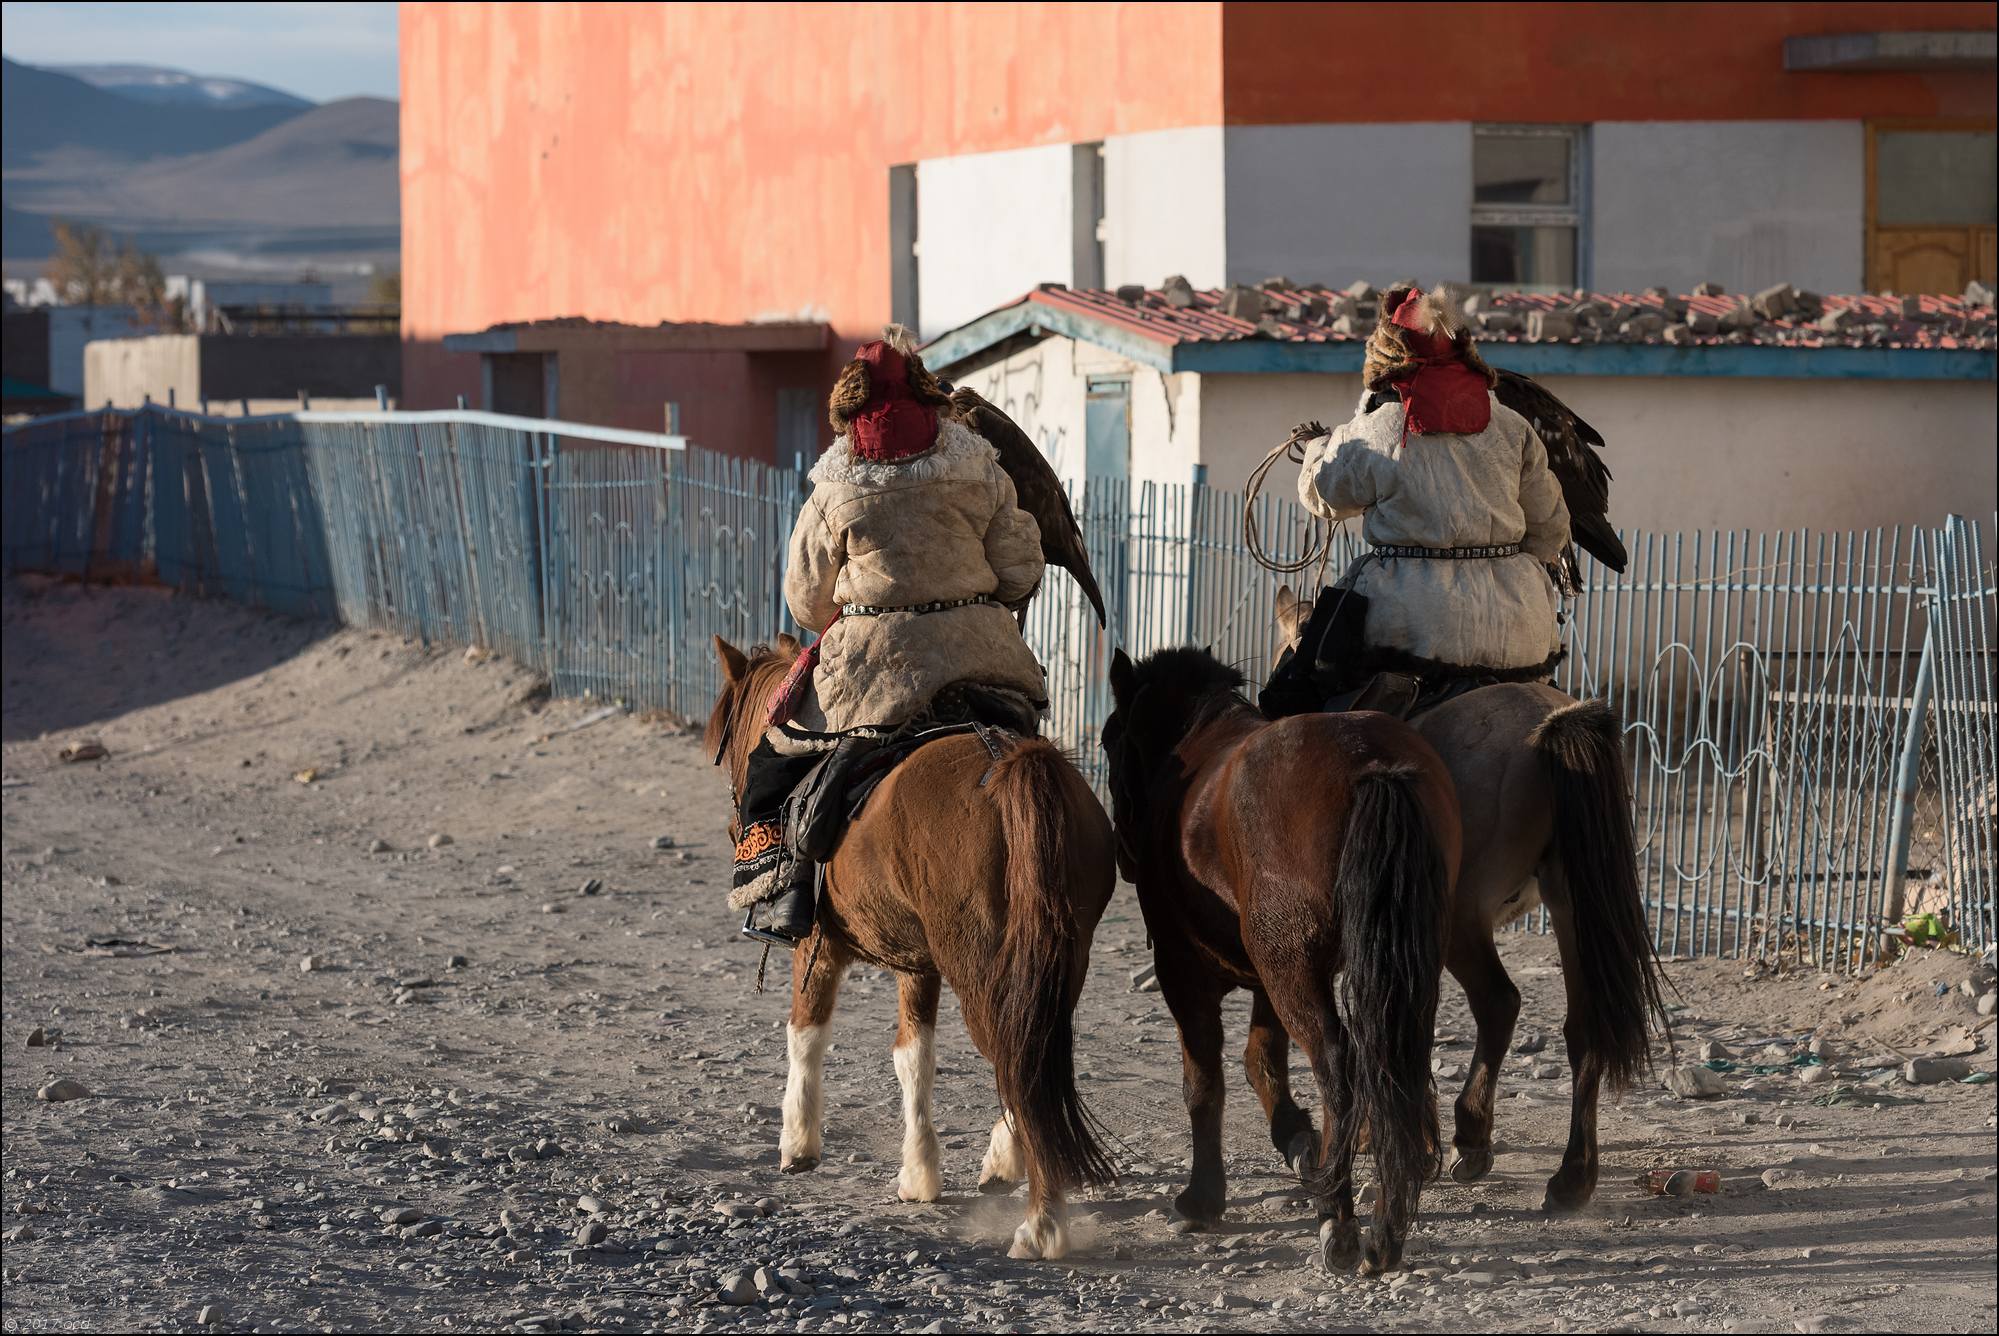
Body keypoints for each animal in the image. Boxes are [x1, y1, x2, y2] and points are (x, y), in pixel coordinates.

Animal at [703, 632, 1119, 1256]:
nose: (735, 826)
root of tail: (1010, 761)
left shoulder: (819, 946)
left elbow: (807, 1033)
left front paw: (798, 1142)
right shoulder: (918, 966)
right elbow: (913, 1057)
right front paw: (920, 1173)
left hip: (981, 969)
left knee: (1017, 1062)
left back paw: (1043, 1222)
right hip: (1057, 962)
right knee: (1033, 1055)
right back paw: (1010, 1164)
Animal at [1103, 648, 1463, 1272]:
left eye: (1107, 742)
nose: (1124, 857)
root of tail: (1371, 762)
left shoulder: (1186, 972)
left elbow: (1205, 1080)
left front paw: (1202, 1197)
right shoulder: (1268, 978)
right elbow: (1262, 1062)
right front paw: (1297, 1141)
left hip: (1292, 972)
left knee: (1338, 1064)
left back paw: (1338, 1220)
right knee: (1397, 1065)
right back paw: (1385, 1226)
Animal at [1279, 584, 1671, 1208]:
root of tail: (1552, 728)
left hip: (1460, 920)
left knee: (1497, 1002)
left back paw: (1472, 1136)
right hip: (1568, 905)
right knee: (1582, 1025)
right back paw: (1572, 1176)